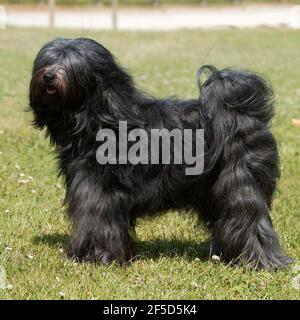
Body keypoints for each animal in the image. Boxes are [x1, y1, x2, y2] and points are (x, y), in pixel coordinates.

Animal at [29, 38, 292, 270]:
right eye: (48, 60)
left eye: (73, 62)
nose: (48, 76)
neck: (101, 117)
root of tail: (244, 110)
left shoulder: (98, 194)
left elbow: (98, 224)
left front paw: (98, 258)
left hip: (240, 184)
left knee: (250, 219)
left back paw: (260, 261)